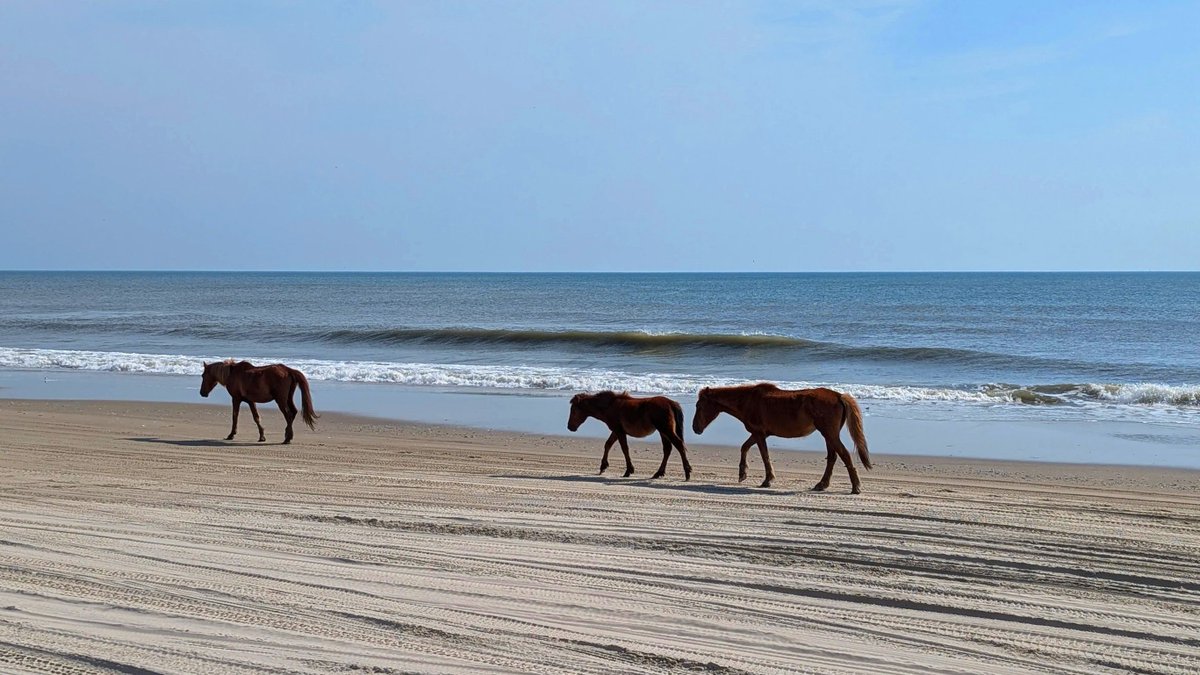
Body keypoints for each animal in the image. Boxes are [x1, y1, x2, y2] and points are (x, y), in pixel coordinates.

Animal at [692, 383, 871, 493]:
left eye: (699, 406)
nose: (695, 428)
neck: (748, 400)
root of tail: (839, 396)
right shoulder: (758, 433)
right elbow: (745, 447)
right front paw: (743, 473)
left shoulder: (759, 434)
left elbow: (764, 456)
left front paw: (767, 480)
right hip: (829, 435)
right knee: (833, 458)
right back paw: (822, 484)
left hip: (830, 434)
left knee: (844, 455)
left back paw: (855, 487)